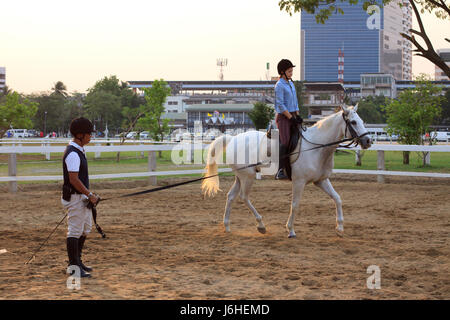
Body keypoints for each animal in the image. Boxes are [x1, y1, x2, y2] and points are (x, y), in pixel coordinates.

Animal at [202, 105, 370, 238]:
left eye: (362, 121)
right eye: (353, 122)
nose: (368, 141)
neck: (317, 147)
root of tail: (233, 139)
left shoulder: (321, 180)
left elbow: (337, 198)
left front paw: (340, 227)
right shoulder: (299, 182)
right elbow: (295, 205)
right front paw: (290, 230)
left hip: (241, 176)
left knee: (231, 196)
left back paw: (227, 226)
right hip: (248, 177)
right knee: (244, 197)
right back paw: (261, 225)